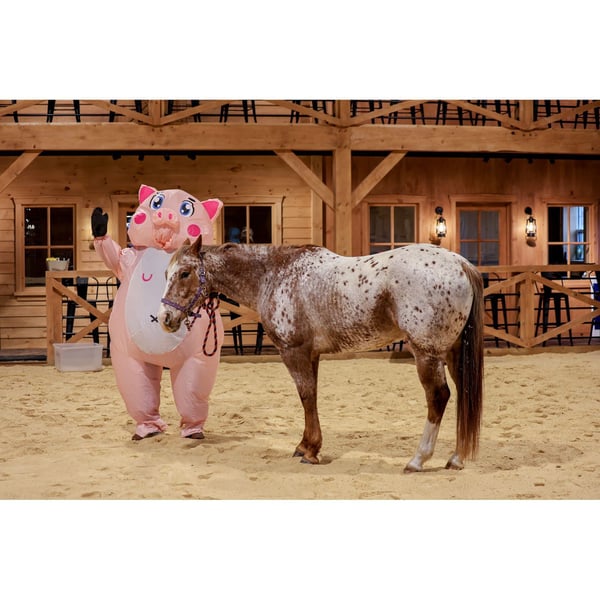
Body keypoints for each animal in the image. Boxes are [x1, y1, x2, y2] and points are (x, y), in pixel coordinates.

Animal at [158, 236, 484, 472]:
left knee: (438, 397)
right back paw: (456, 458)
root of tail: (460, 263)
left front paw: (311, 450)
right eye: (166, 273)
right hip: (453, 353)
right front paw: (305, 445)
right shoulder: (311, 355)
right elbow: (311, 398)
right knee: (461, 394)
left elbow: (306, 396)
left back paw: (418, 460)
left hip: (426, 353)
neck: (274, 275)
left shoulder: (294, 352)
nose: (164, 318)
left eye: (185, 273)